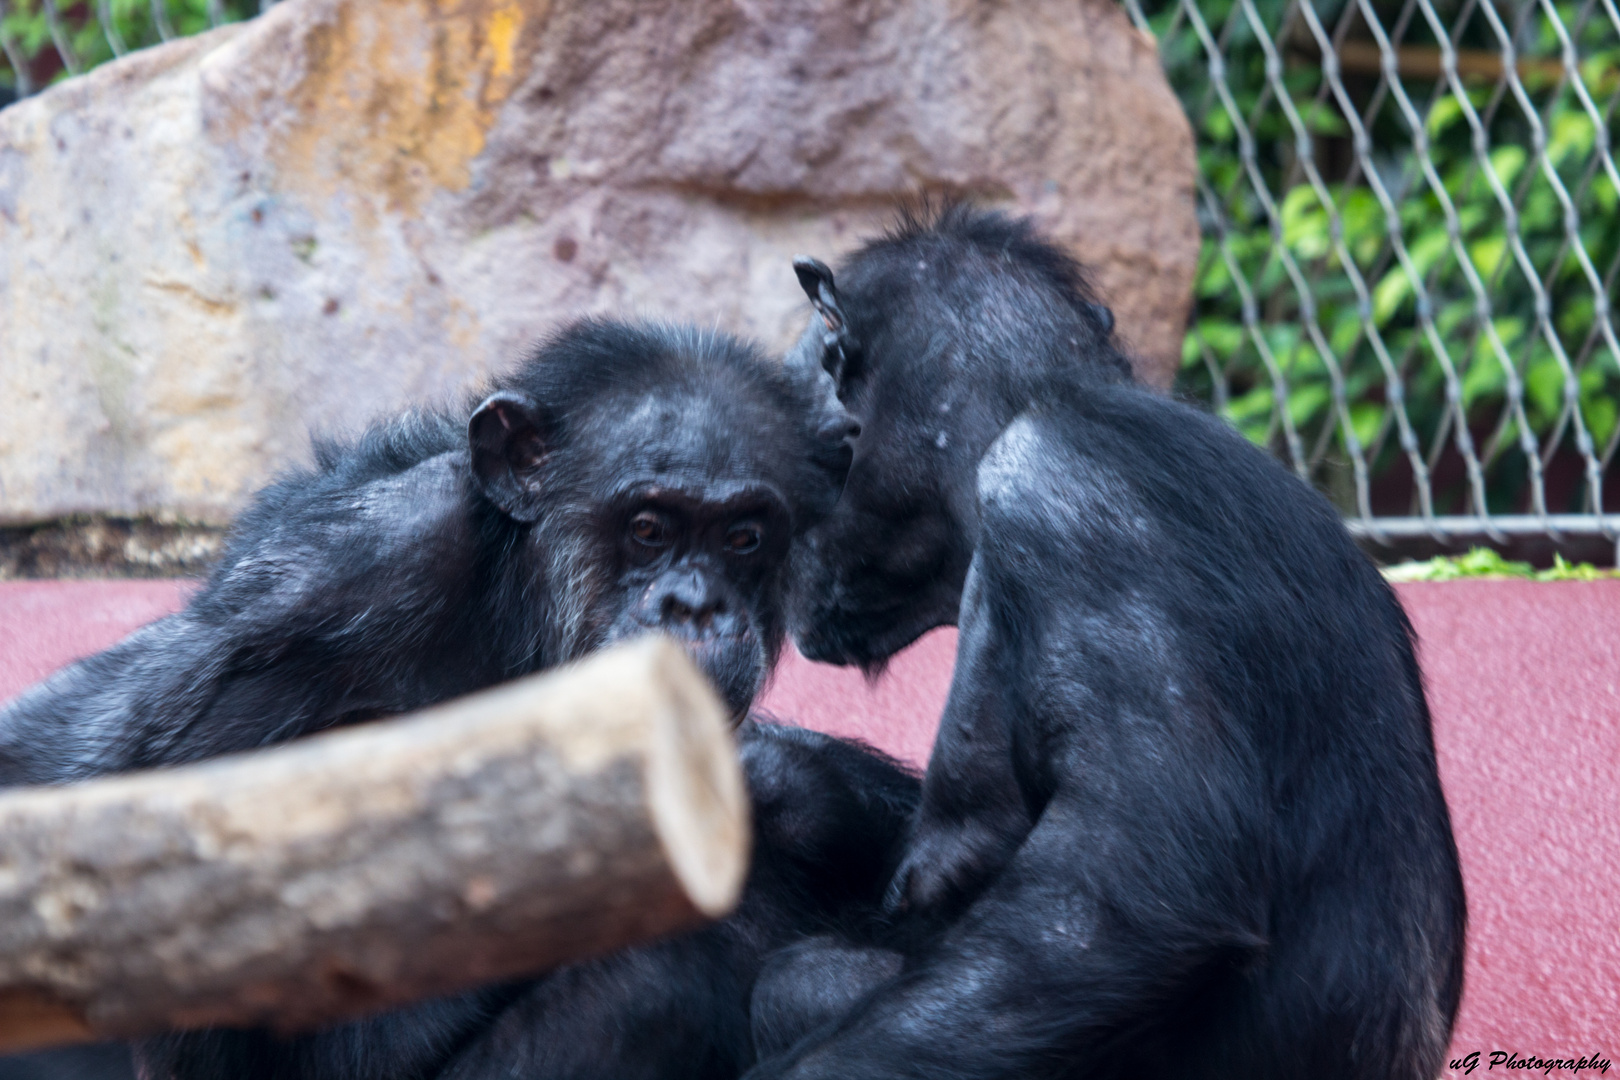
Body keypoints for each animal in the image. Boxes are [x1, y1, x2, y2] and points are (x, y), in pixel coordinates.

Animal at [0, 318, 920, 1080]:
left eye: (744, 537)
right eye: (649, 528)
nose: (695, 606)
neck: (522, 605)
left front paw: (783, 784)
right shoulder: (343, 569)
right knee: (660, 979)